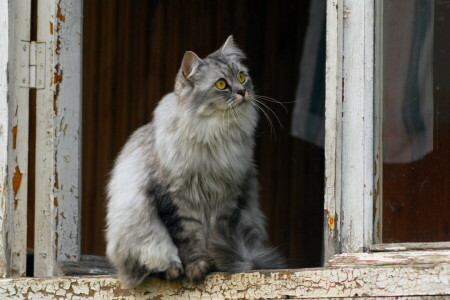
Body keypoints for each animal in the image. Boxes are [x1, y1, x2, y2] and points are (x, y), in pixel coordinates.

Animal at [105, 35, 284, 288]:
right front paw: (197, 267)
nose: (242, 92)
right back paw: (171, 271)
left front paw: (217, 264)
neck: (215, 134)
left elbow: (216, 236)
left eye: (241, 77)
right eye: (221, 84)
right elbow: (188, 240)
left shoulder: (228, 199)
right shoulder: (175, 199)